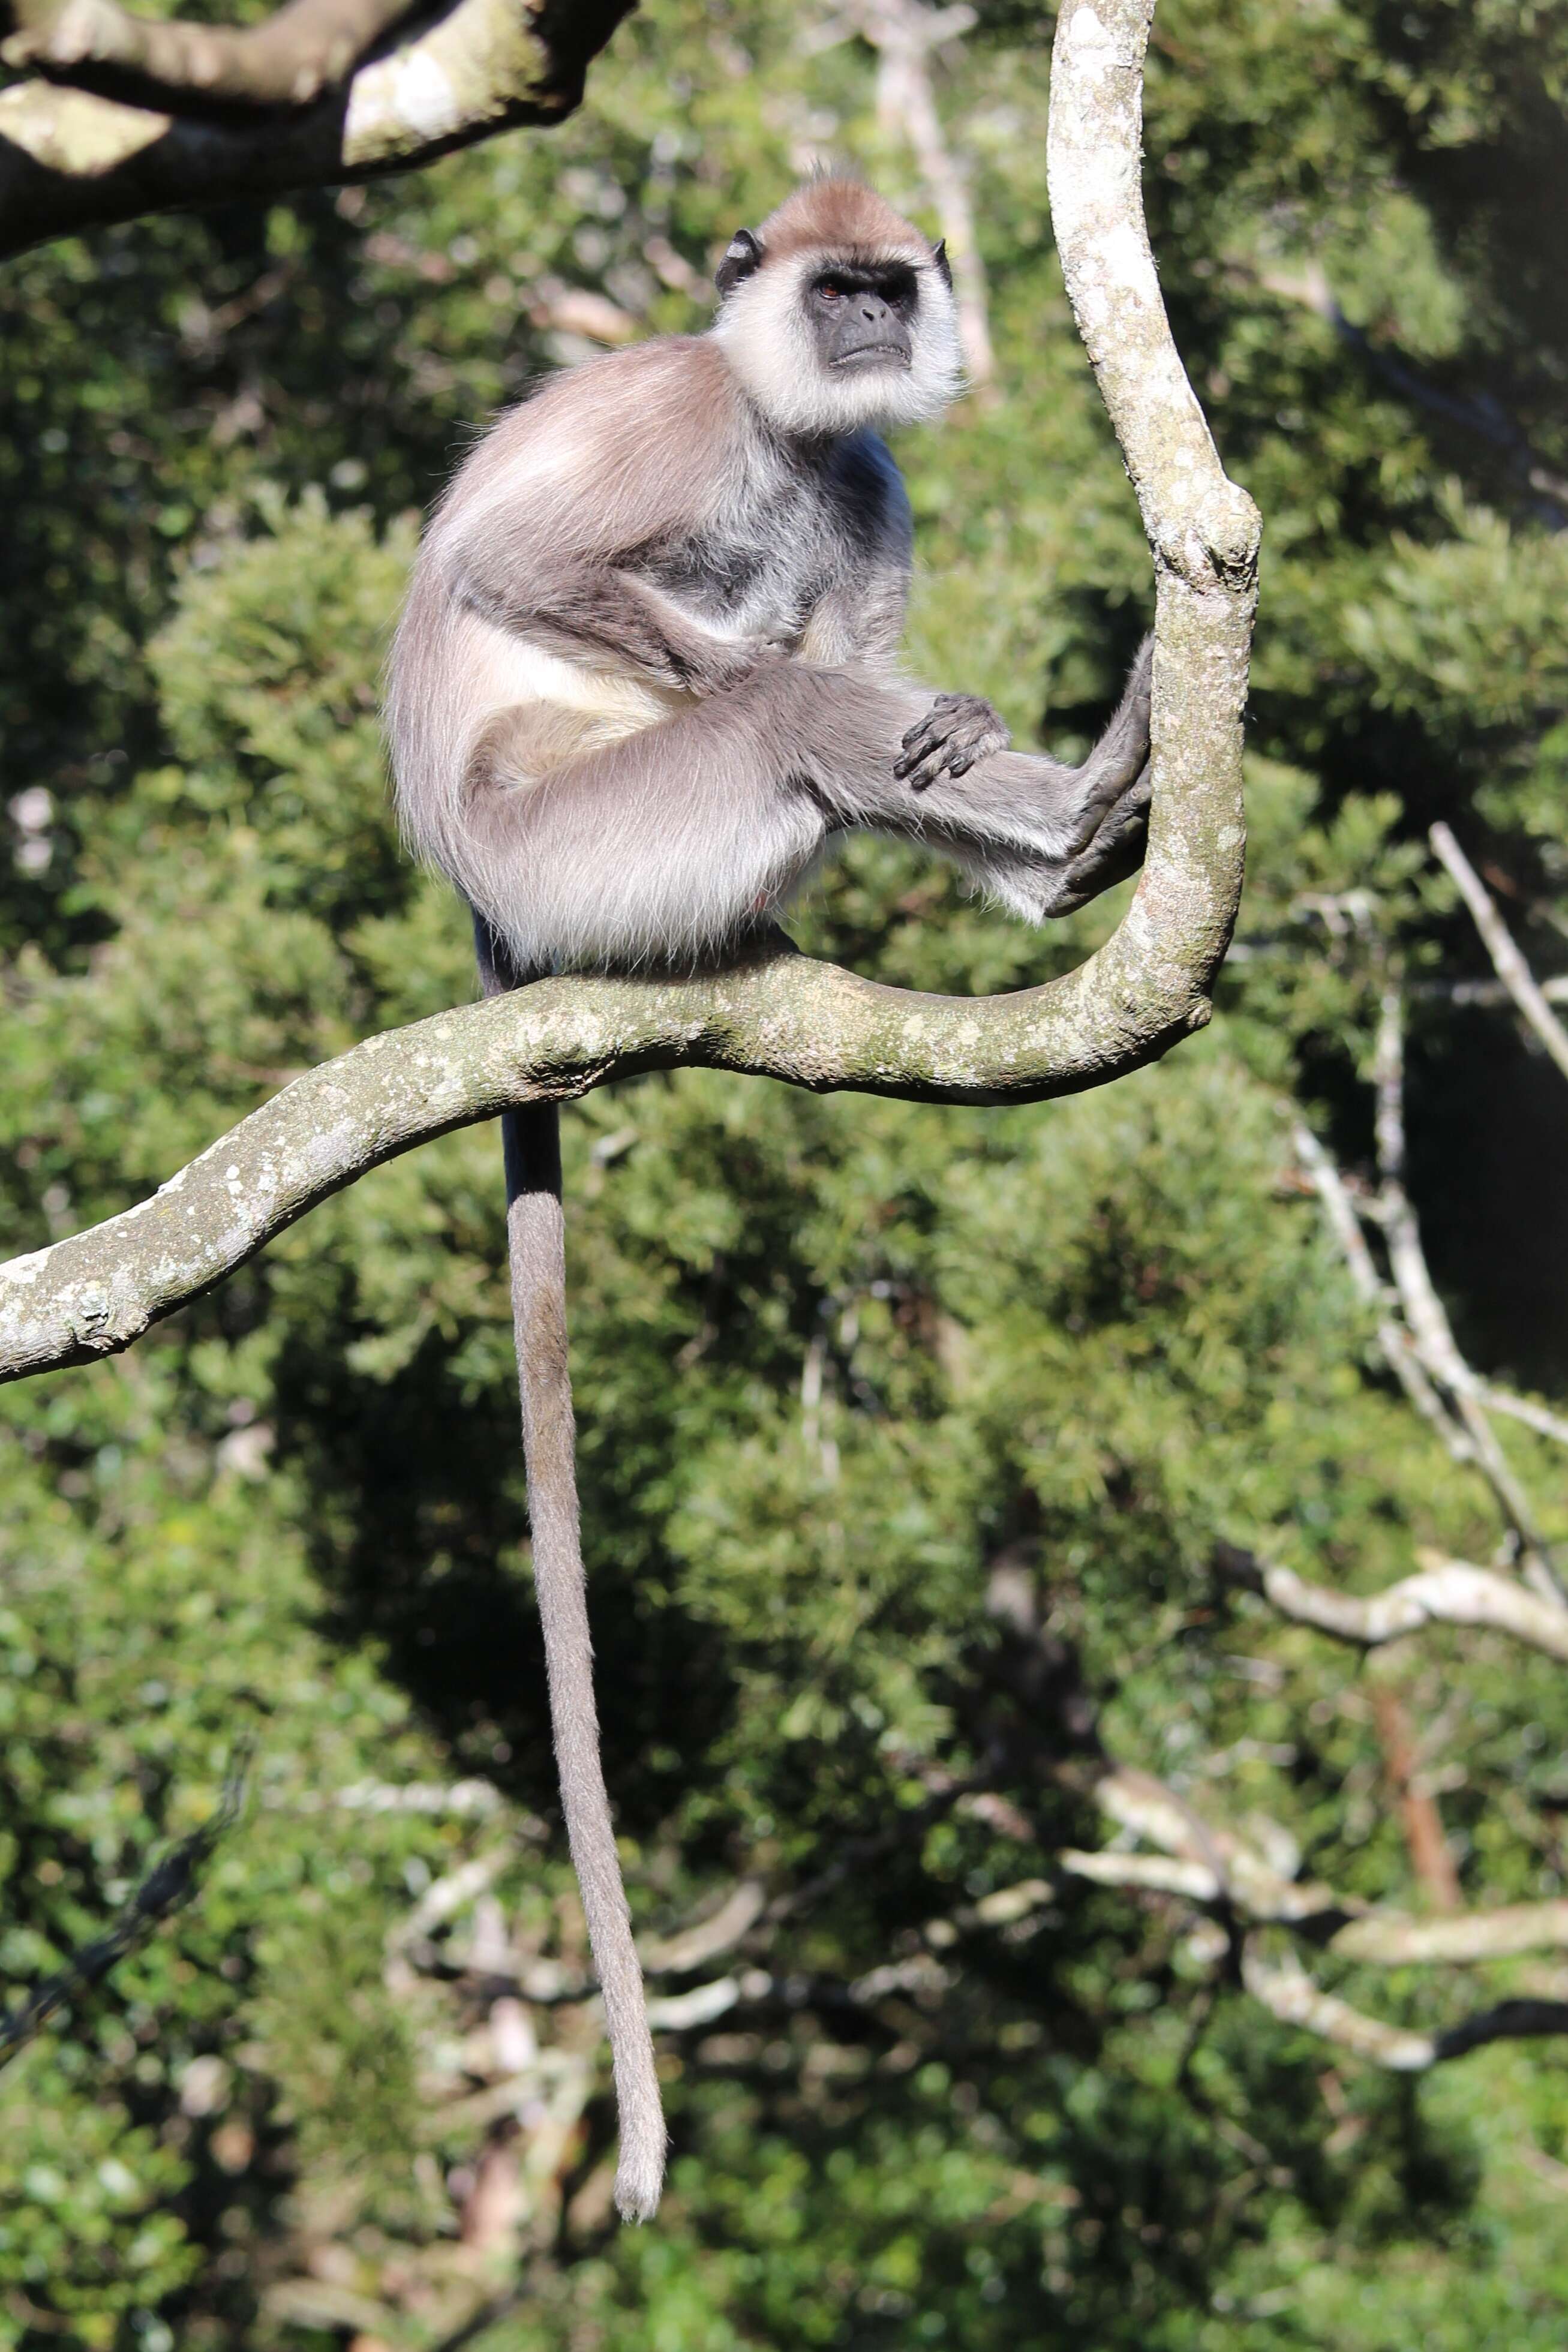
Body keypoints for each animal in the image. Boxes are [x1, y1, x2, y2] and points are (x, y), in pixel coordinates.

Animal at [388, 178, 1161, 2220]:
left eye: (891, 288)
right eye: (835, 291)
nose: (875, 332)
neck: (784, 429)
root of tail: (490, 902)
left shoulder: (863, 476)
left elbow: (862, 605)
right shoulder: (675, 418)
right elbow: (513, 566)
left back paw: (1075, 837)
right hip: (584, 833)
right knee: (777, 715)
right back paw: (1054, 813)